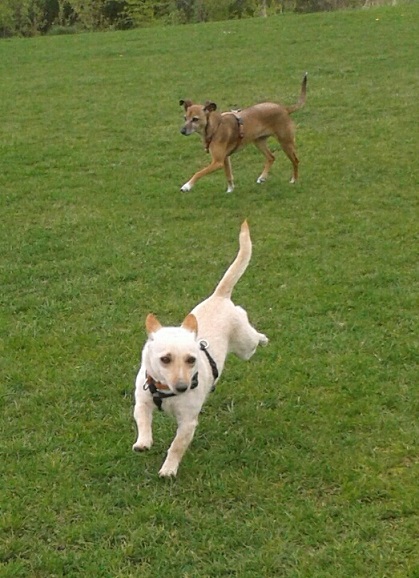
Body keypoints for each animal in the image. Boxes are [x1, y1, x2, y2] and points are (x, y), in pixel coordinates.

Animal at [132, 221, 268, 477]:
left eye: (191, 360)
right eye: (165, 359)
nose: (183, 387)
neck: (166, 391)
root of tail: (219, 296)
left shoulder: (188, 422)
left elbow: (177, 445)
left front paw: (169, 469)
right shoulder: (142, 401)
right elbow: (142, 420)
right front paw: (143, 442)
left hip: (245, 346)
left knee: (251, 332)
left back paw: (263, 338)